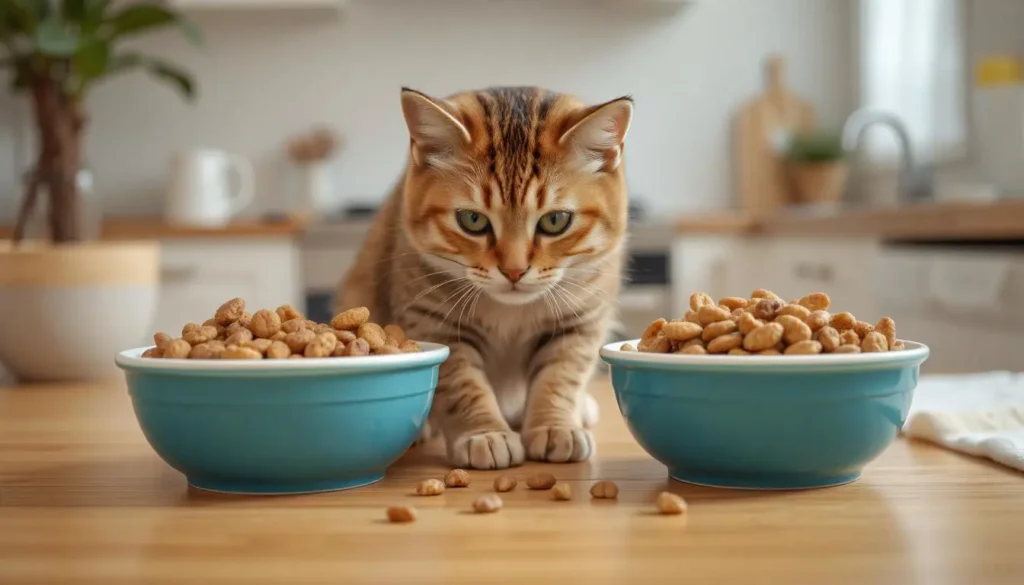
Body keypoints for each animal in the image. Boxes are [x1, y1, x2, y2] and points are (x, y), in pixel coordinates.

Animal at [337, 86, 630, 471]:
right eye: (472, 220)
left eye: (555, 221)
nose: (514, 270)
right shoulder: (435, 322)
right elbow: (463, 385)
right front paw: (485, 433)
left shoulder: (580, 321)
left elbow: (559, 377)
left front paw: (555, 425)